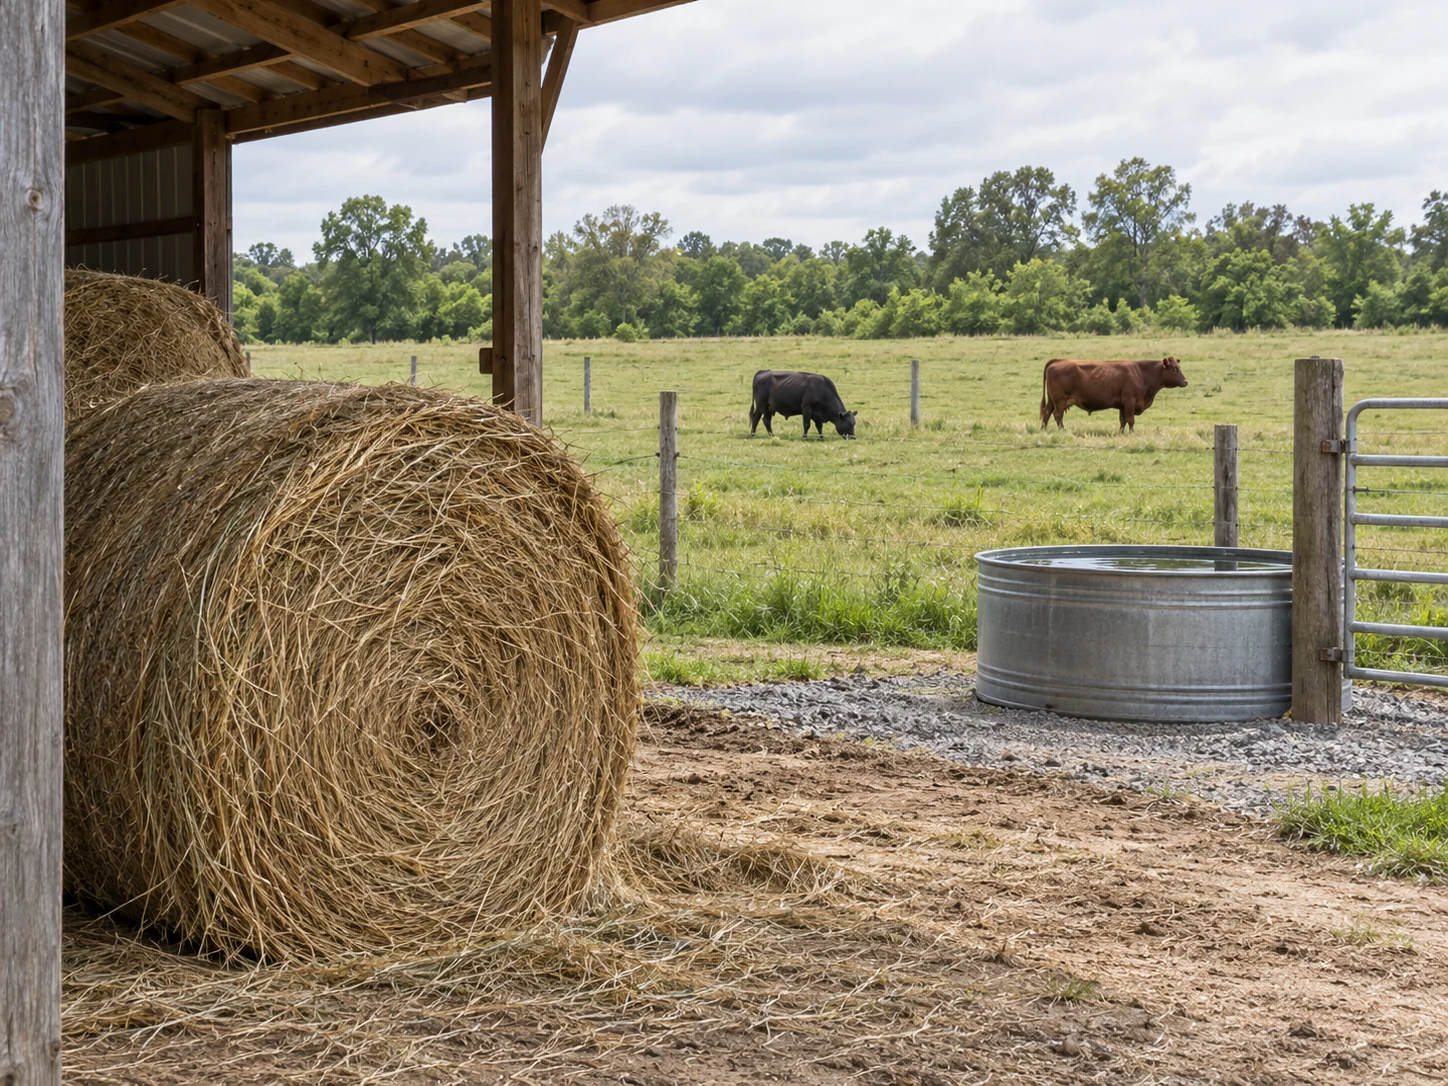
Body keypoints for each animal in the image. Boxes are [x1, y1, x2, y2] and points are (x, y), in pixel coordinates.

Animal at [1039, 357, 1189, 433]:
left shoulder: (1123, 405)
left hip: (1052, 401)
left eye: (1179, 368)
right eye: (1175, 369)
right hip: (1060, 401)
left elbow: (1123, 420)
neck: (1142, 373)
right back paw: (1062, 430)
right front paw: (1131, 434)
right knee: (1058, 415)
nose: (1186, 381)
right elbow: (1130, 420)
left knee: (1047, 413)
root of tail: (1058, 360)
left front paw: (1121, 433)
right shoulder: (1130, 402)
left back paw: (1043, 430)